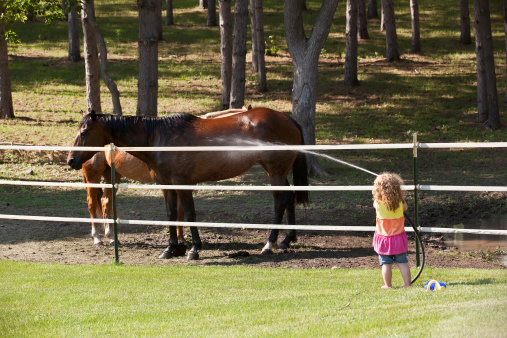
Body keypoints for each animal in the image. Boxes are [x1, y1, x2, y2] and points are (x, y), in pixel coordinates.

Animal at [67, 107, 310, 260]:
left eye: (84, 132)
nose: (71, 160)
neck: (158, 139)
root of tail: (288, 119)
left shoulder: (183, 184)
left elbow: (189, 214)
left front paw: (193, 249)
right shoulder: (166, 185)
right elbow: (172, 214)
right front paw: (171, 249)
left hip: (275, 172)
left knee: (280, 202)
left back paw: (269, 244)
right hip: (278, 172)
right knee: (289, 198)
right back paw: (286, 240)